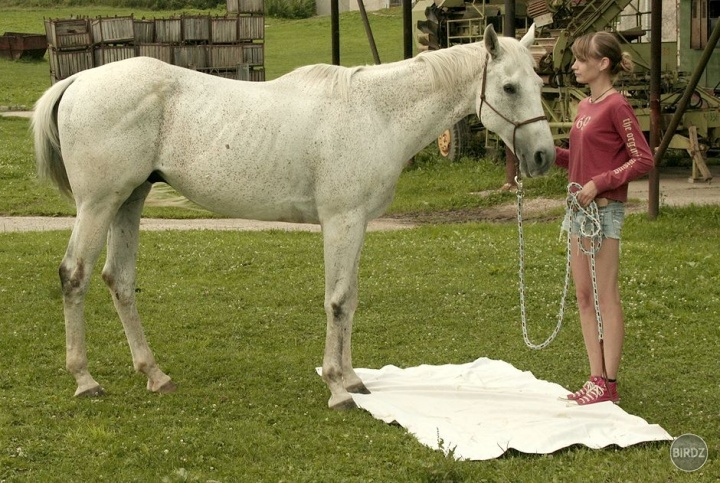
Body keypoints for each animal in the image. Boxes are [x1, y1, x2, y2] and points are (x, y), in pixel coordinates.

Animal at [32, 24, 552, 410]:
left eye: (540, 83)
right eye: (509, 87)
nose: (544, 156)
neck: (375, 113)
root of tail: (77, 81)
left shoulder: (357, 224)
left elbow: (351, 298)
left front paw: (353, 378)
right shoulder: (341, 221)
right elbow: (337, 301)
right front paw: (339, 388)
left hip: (130, 201)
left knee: (118, 280)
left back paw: (155, 375)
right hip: (99, 205)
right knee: (74, 274)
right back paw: (85, 380)